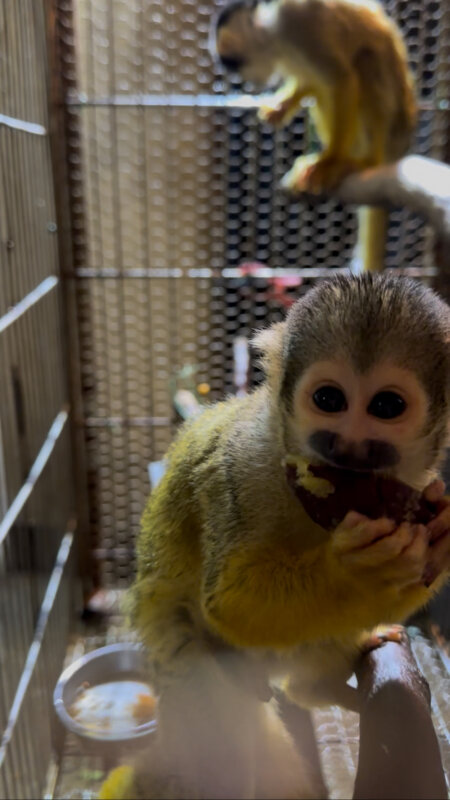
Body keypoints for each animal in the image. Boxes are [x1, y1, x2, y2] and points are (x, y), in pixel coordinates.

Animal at [99, 274, 450, 800]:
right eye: (328, 400)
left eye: (387, 406)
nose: (347, 445)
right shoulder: (241, 467)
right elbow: (229, 601)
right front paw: (360, 573)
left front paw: (439, 541)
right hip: (195, 678)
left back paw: (316, 688)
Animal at [212, 0, 417, 272]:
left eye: (235, 64)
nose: (247, 81)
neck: (274, 34)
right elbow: (311, 81)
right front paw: (282, 106)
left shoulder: (298, 26)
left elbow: (340, 80)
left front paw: (330, 162)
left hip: (394, 128)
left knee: (363, 62)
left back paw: (360, 163)